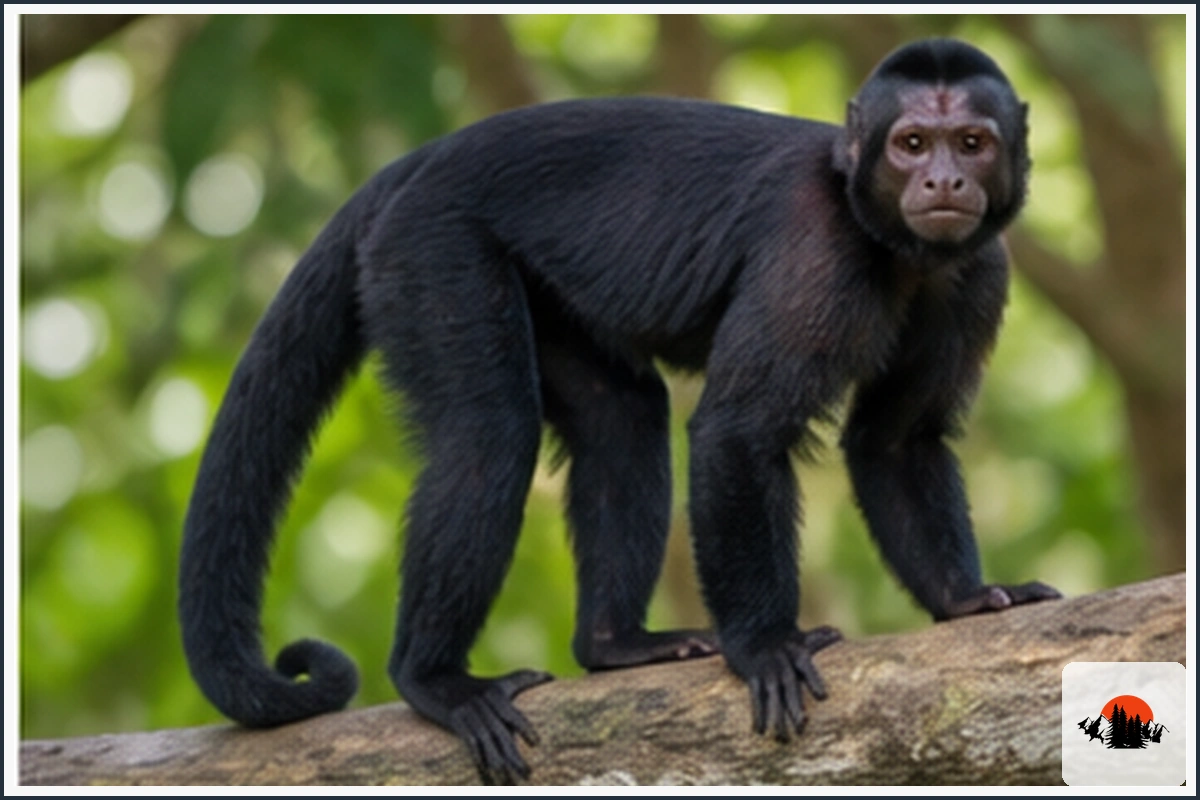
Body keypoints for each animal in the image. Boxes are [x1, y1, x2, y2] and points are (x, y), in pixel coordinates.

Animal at [179, 38, 1061, 783]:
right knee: (489, 440)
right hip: (430, 250)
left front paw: (964, 598)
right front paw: (764, 646)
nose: (942, 182)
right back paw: (433, 680)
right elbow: (737, 432)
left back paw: (613, 647)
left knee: (621, 413)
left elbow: (895, 440)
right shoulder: (817, 249)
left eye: (972, 143)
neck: (891, 244)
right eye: (911, 144)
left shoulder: (978, 270)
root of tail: (412, 167)